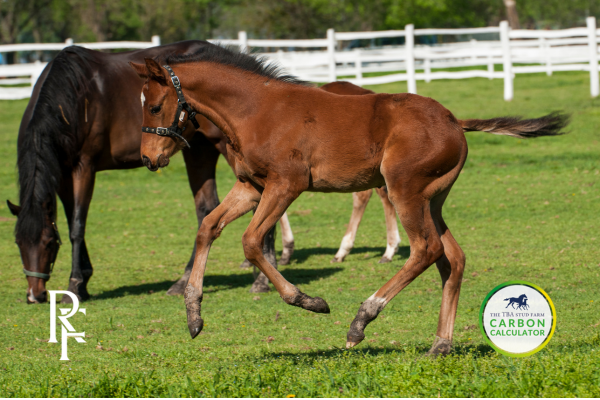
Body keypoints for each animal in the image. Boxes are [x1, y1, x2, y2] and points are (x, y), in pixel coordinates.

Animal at [131, 45, 568, 354]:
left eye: (155, 105)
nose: (149, 158)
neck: (255, 110)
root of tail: (453, 120)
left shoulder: (286, 185)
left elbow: (251, 242)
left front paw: (308, 300)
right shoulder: (250, 186)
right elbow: (208, 227)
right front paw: (193, 314)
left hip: (405, 189)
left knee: (425, 249)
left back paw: (362, 320)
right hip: (432, 200)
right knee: (452, 258)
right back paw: (440, 344)